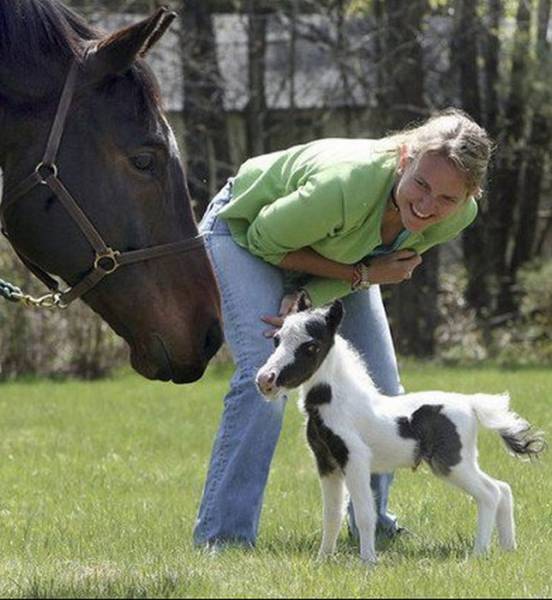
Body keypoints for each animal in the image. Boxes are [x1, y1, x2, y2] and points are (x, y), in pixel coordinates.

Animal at [256, 300, 544, 564]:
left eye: (311, 346)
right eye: (277, 340)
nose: (265, 381)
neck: (339, 403)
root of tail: (471, 403)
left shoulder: (355, 459)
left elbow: (365, 514)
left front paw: (368, 562)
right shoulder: (327, 463)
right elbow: (331, 515)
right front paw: (322, 560)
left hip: (451, 463)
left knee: (490, 493)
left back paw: (478, 554)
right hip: (459, 462)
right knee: (503, 488)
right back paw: (508, 549)